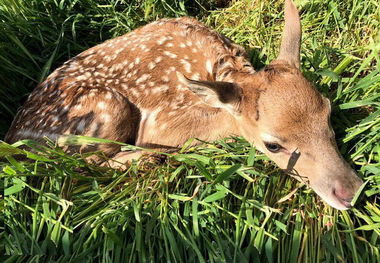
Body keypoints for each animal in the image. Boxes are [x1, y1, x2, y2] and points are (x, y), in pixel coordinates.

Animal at [5, 0, 362, 210]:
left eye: (328, 112)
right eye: (272, 145)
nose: (351, 191)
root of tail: (12, 140)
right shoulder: (162, 120)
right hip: (105, 109)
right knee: (84, 164)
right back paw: (149, 158)